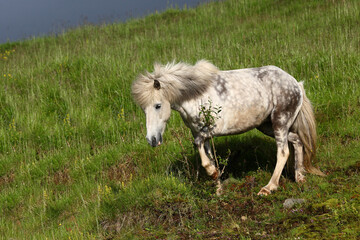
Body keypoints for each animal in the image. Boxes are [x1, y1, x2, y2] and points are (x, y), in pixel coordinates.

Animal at [132, 60, 326, 195]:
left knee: (284, 152)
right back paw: (300, 177)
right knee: (297, 141)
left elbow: (199, 147)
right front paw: (218, 188)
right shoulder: (201, 134)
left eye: (157, 105)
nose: (152, 140)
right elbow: (209, 156)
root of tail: (296, 84)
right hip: (268, 126)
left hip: (280, 122)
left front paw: (213, 174)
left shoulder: (211, 130)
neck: (196, 96)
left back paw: (268, 188)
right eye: (143, 109)